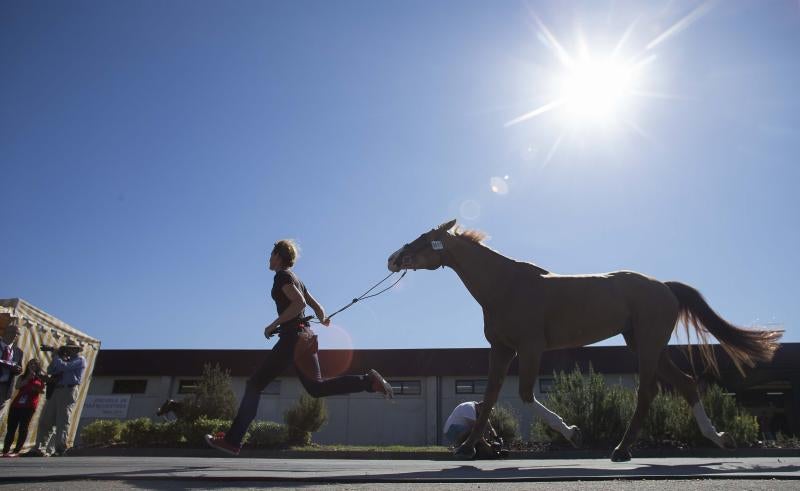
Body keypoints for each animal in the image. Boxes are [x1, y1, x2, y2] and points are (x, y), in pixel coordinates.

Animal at [388, 219, 780, 462]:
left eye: (424, 238)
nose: (393, 258)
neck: (505, 285)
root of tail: (665, 287)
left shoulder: (529, 348)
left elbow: (526, 394)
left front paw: (573, 432)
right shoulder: (501, 350)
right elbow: (488, 399)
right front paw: (467, 449)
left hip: (648, 345)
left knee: (648, 391)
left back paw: (622, 449)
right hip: (646, 345)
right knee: (685, 384)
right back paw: (718, 437)